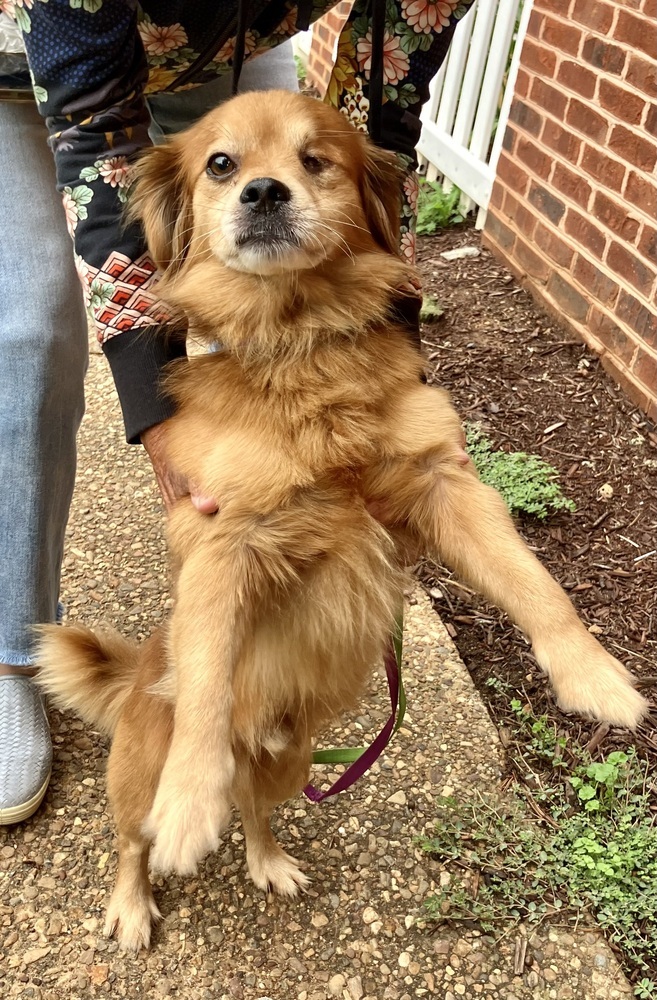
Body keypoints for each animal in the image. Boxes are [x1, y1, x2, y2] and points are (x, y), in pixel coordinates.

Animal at [37, 92, 644, 952]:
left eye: (315, 160)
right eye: (220, 163)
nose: (263, 192)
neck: (301, 337)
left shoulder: (442, 482)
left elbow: (532, 581)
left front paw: (592, 674)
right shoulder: (224, 536)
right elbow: (209, 671)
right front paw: (191, 800)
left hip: (293, 762)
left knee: (254, 806)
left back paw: (268, 861)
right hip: (135, 773)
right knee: (129, 839)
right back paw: (132, 901)